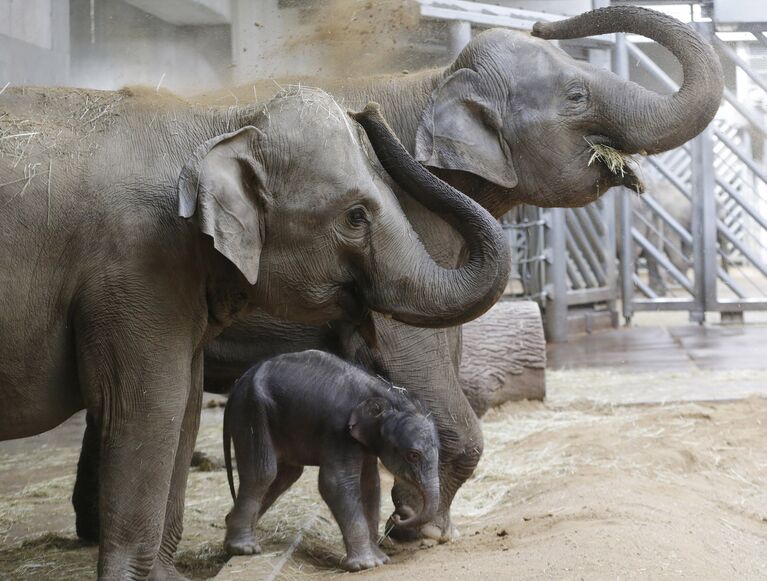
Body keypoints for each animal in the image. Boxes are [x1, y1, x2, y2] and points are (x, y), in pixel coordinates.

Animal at [73, 5, 728, 544]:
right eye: (575, 96)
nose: (545, 22)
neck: (434, 82)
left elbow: (445, 345)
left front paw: (423, 522)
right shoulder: (401, 223)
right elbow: (416, 350)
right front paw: (414, 530)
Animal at [222, 346, 438, 568]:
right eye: (413, 455)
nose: (397, 515)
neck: (384, 392)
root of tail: (238, 383)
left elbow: (370, 485)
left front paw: (380, 559)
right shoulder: (338, 430)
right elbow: (336, 482)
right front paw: (365, 565)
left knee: (287, 474)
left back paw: (232, 526)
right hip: (252, 411)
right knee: (263, 473)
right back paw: (244, 548)